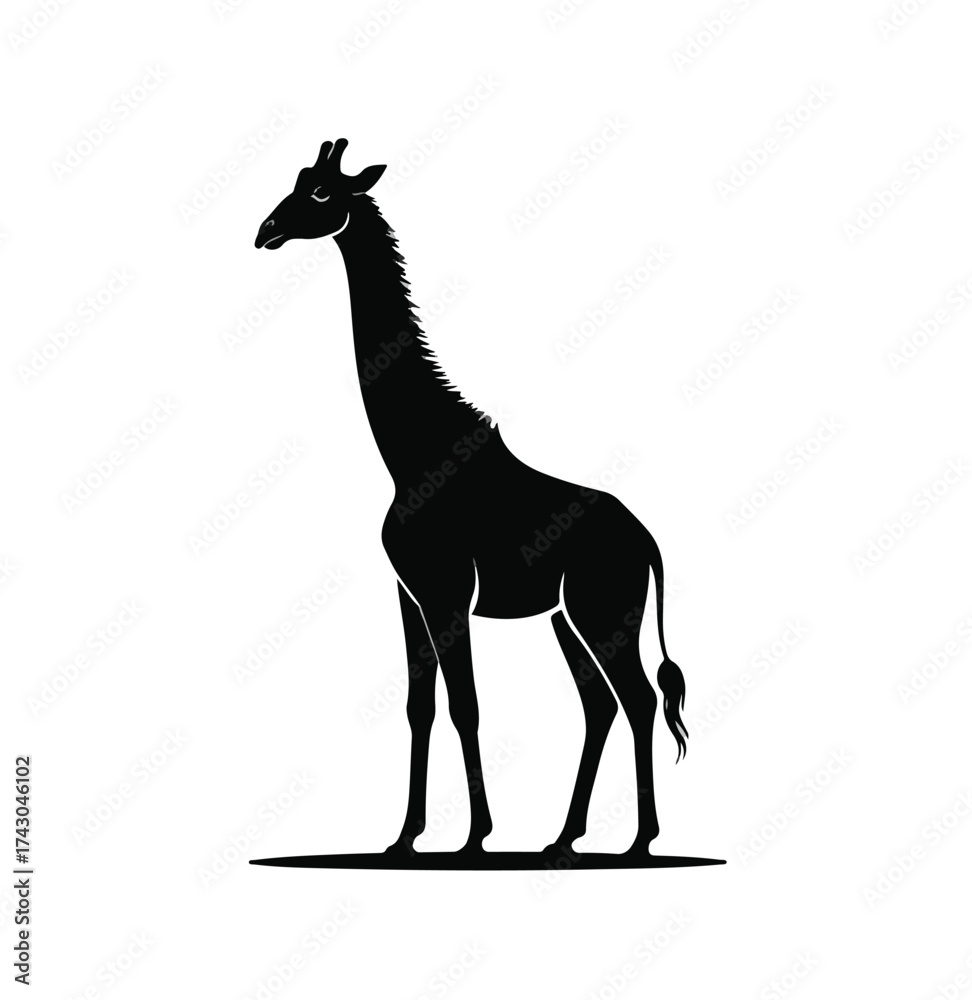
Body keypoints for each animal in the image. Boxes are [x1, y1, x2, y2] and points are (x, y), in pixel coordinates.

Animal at [255, 139, 688, 860]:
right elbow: (420, 707)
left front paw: (474, 838)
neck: (413, 455)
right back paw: (563, 840)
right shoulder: (410, 593)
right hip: (566, 617)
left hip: (602, 610)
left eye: (320, 193)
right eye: (296, 182)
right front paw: (404, 839)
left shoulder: (448, 591)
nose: (265, 231)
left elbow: (465, 706)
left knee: (637, 699)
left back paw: (637, 843)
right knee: (600, 704)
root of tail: (649, 543)